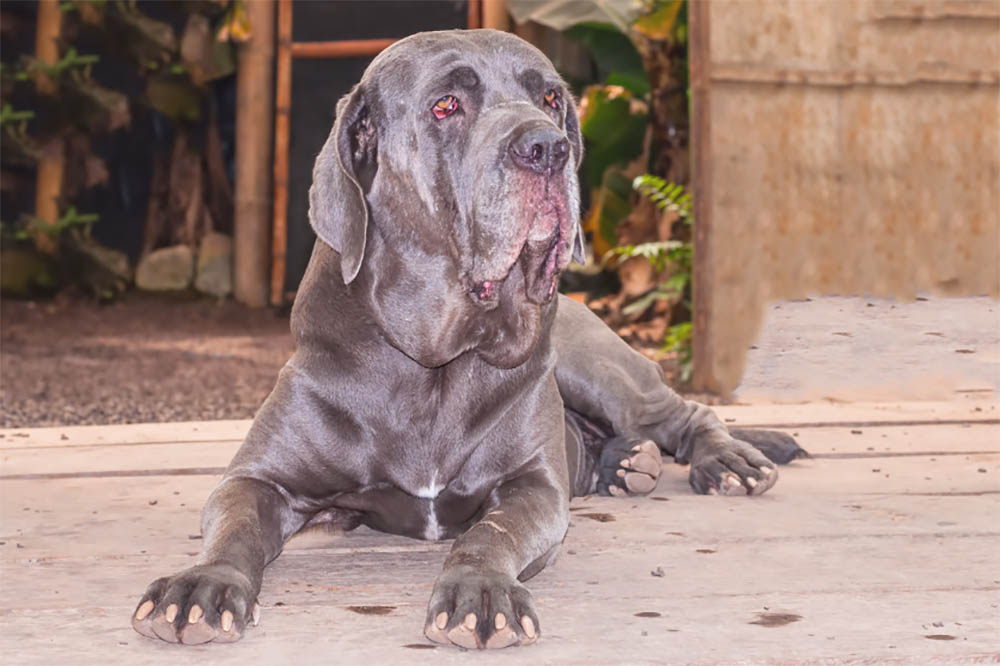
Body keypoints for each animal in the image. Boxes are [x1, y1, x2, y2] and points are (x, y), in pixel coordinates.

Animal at [133, 29, 804, 648]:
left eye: (551, 98)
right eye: (446, 105)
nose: (549, 147)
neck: (435, 361)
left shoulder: (532, 486)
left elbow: (490, 532)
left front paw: (481, 593)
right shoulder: (259, 478)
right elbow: (236, 527)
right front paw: (202, 583)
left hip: (598, 368)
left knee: (686, 414)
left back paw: (725, 461)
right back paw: (624, 462)